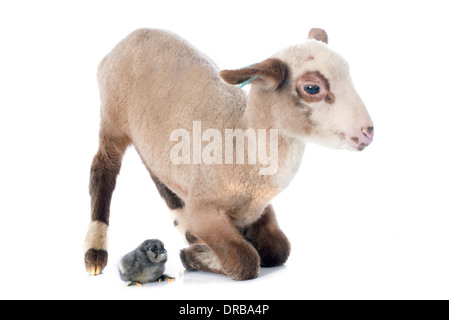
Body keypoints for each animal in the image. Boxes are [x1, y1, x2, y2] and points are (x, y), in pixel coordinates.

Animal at [83, 28, 372, 282]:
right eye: (312, 88)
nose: (368, 131)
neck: (241, 145)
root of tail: (127, 39)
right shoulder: (203, 207)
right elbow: (244, 258)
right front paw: (199, 257)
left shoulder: (259, 206)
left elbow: (279, 248)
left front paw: (201, 248)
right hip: (113, 118)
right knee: (103, 169)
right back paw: (95, 251)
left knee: (156, 171)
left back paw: (186, 228)